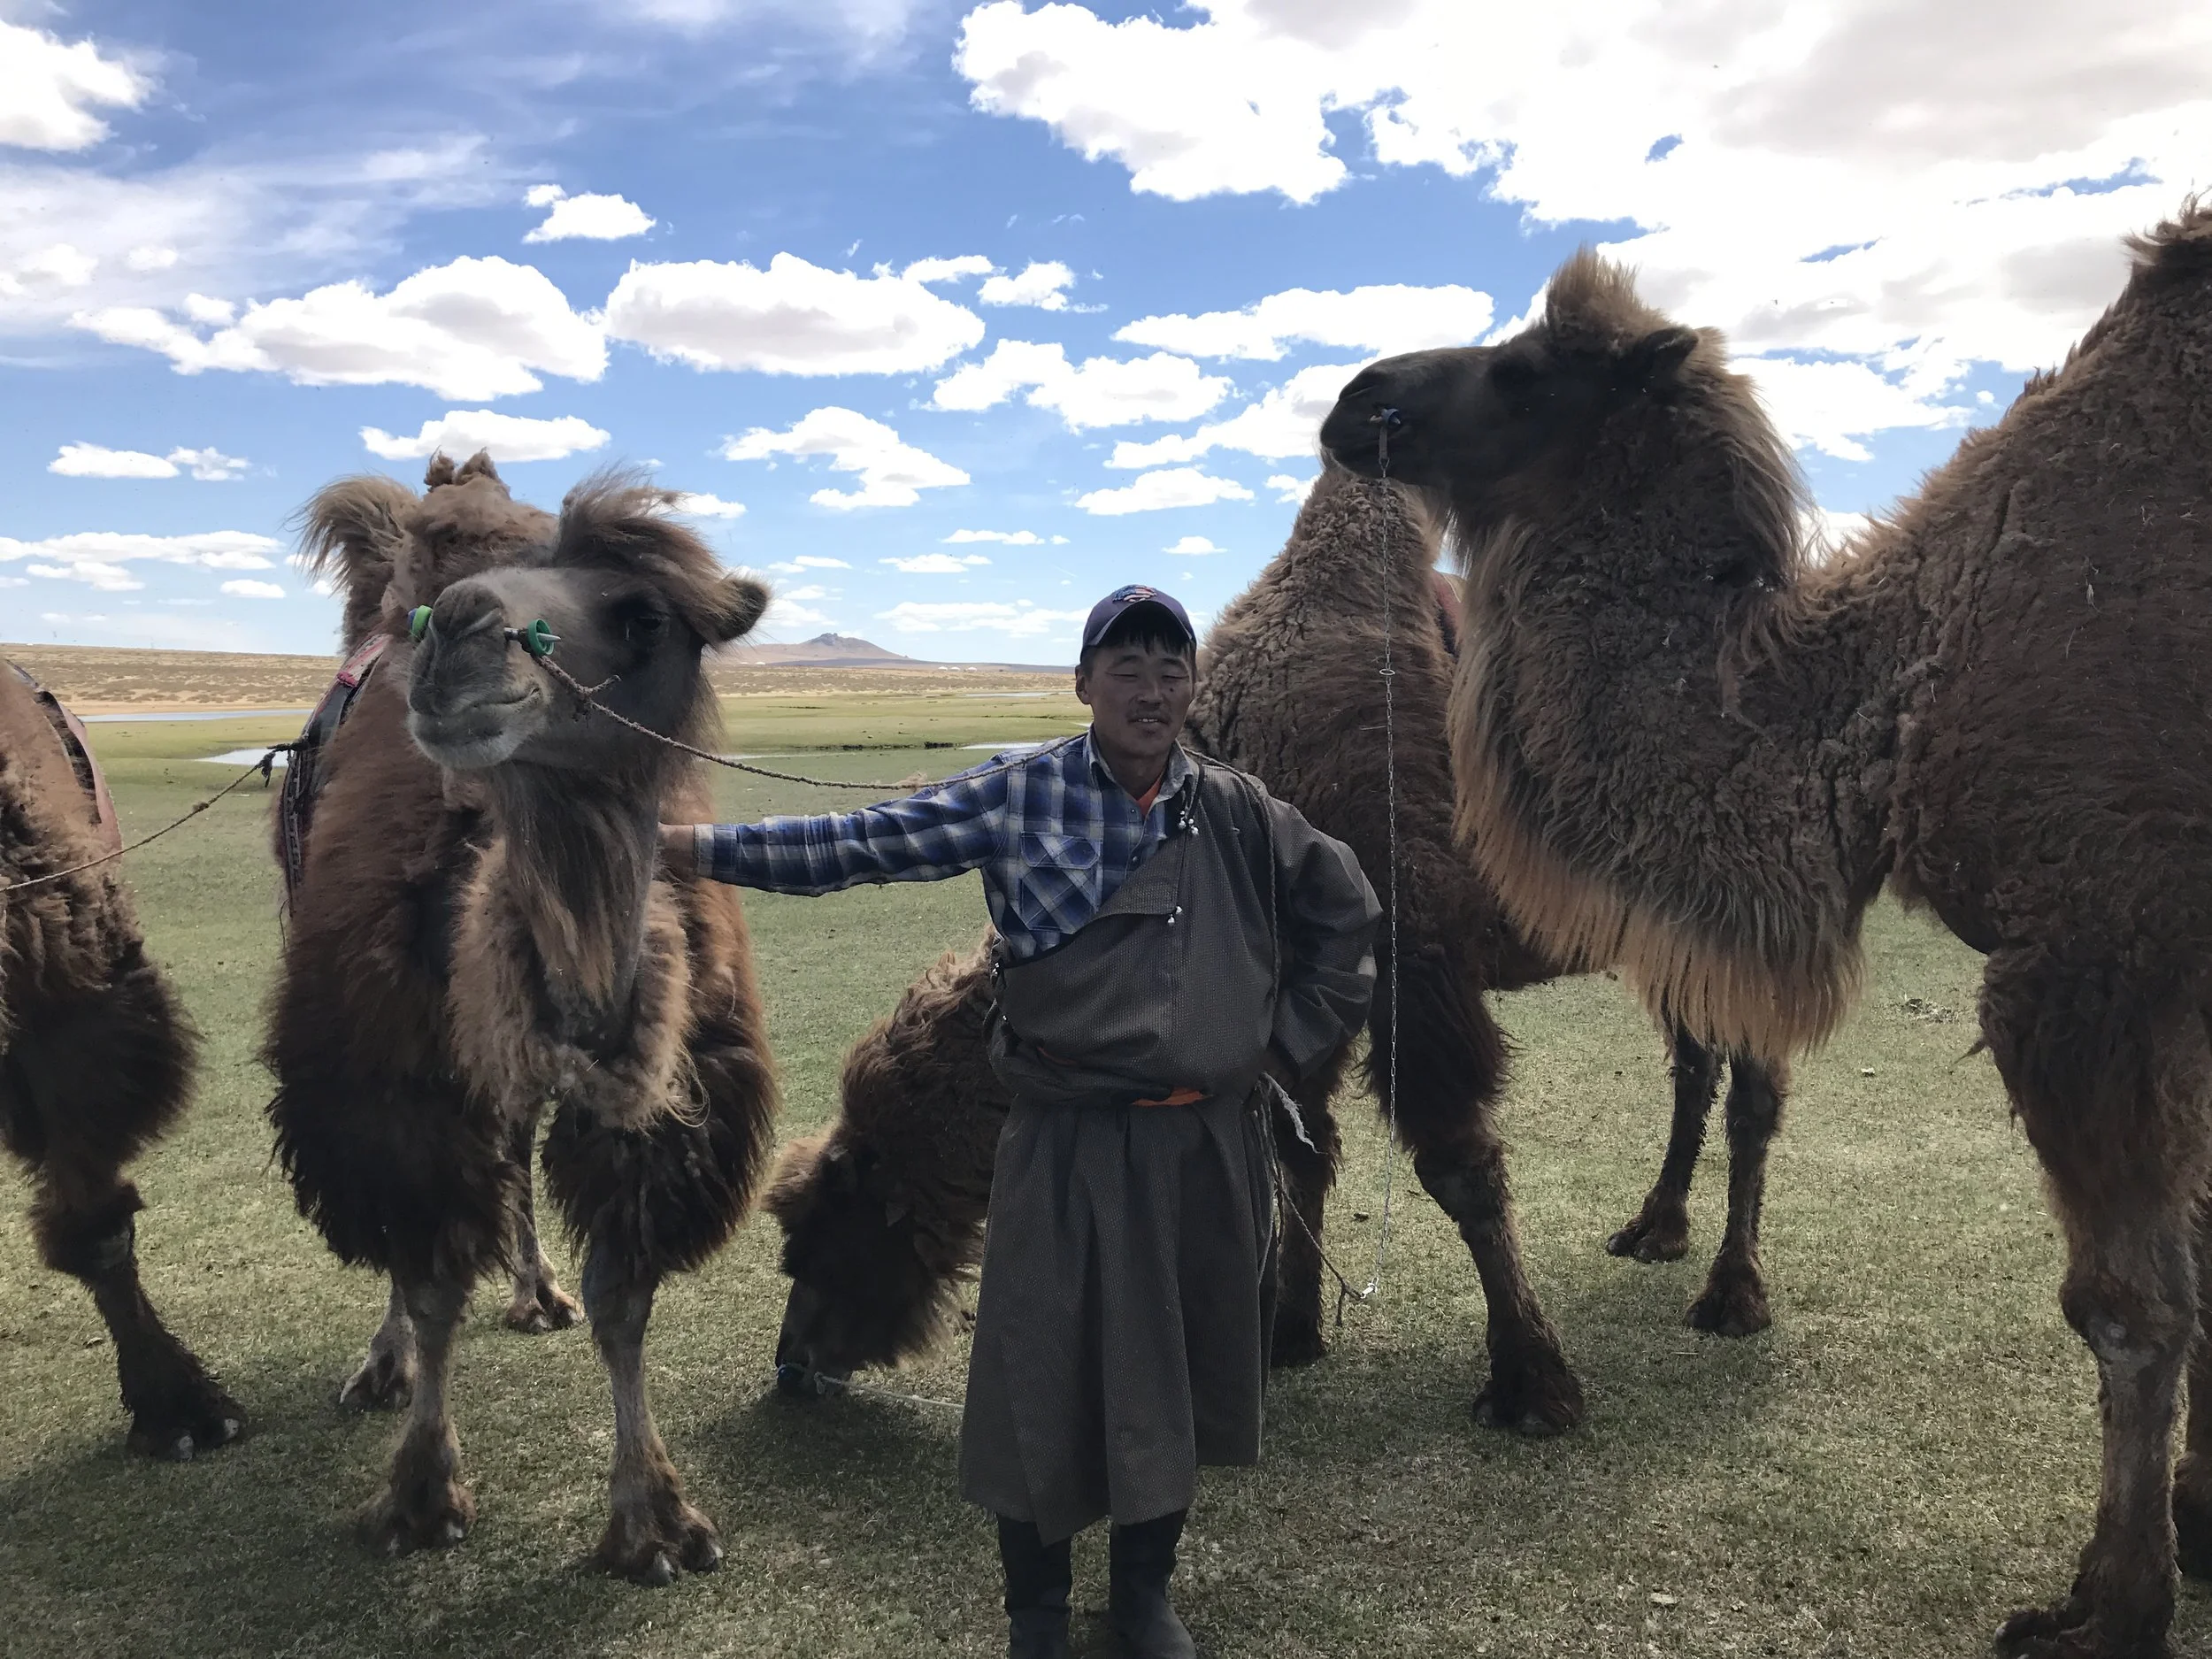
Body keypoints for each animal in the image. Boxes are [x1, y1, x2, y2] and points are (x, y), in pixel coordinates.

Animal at [266, 453, 779, 1584]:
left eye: (644, 617)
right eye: (429, 616)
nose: (458, 633)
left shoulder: (665, 1109)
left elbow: (624, 1299)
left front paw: (654, 1521)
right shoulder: (393, 1082)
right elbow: (427, 1281)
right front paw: (420, 1495)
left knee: (507, 1151)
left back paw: (535, 1291)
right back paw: (384, 1366)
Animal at [771, 465, 1792, 1437]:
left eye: (827, 1225)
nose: (793, 1364)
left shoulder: (1416, 962)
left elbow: (1456, 1168)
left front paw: (1530, 1383)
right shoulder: (1302, 982)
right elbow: (1302, 1152)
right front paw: (1289, 1331)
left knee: (1753, 1090)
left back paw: (1732, 1295)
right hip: (1664, 938)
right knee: (1694, 1063)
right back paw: (1655, 1228)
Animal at [1319, 202, 2212, 1659]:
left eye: (1526, 371)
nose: (1358, 400)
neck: (1895, 683)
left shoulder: (2098, 951)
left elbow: (2127, 1303)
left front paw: (2111, 1604)